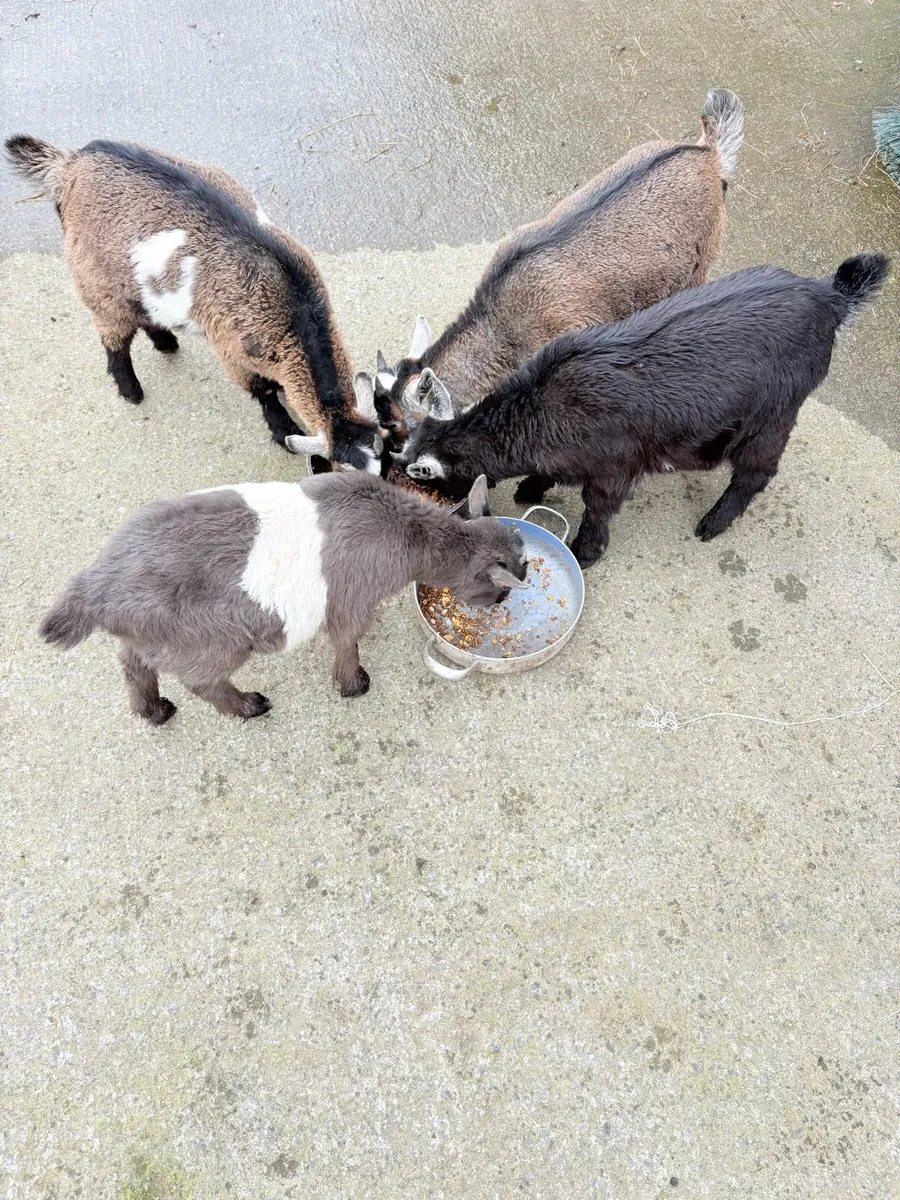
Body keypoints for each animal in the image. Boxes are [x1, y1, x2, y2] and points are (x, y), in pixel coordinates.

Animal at [5, 135, 381, 471]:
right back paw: (131, 390)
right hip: (96, 280)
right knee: (114, 338)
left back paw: (165, 341)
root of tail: (71, 163)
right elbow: (262, 392)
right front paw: (282, 430)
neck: (295, 304)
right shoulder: (231, 346)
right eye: (343, 468)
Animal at [39, 474, 527, 723]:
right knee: (201, 681)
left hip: (150, 632)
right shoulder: (352, 599)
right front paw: (353, 684)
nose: (501, 602)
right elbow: (347, 639)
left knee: (132, 662)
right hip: (211, 639)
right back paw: (248, 706)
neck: (404, 533)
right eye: (502, 587)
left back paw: (153, 711)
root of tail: (99, 585)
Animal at [402, 254, 890, 567]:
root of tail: (828, 296)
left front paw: (585, 552)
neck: (543, 405)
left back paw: (714, 522)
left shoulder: (614, 467)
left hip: (776, 411)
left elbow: (598, 508)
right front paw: (532, 487)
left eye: (428, 482)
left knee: (756, 472)